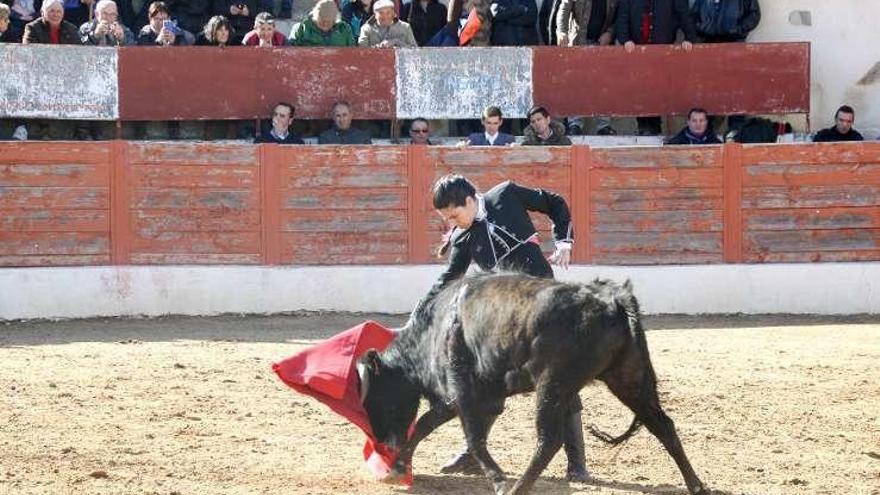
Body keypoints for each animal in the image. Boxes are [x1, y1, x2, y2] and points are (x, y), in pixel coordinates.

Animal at [358, 276, 708, 495]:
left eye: (375, 395)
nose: (382, 443)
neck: (438, 327)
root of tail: (615, 301)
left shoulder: (462, 389)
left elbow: (470, 436)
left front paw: (498, 481)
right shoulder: (479, 396)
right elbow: (430, 424)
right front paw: (397, 467)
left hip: (552, 385)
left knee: (549, 439)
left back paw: (517, 488)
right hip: (629, 379)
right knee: (663, 425)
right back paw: (697, 486)